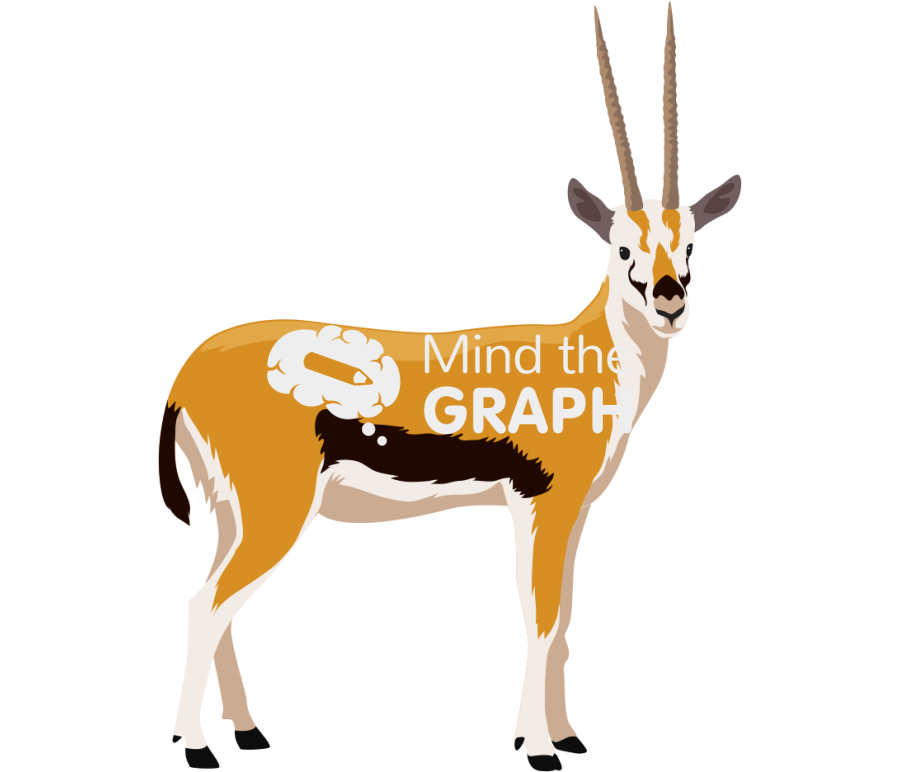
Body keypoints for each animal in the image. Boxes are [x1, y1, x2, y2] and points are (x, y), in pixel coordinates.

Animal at [161, 3, 741, 769]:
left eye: (690, 243)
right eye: (623, 248)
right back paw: (197, 742)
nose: (671, 302)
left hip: (237, 512)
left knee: (221, 601)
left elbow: (566, 614)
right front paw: (538, 744)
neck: (586, 352)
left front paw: (566, 733)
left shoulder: (571, 514)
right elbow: (542, 614)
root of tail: (188, 372)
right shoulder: (543, 506)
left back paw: (248, 728)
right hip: (273, 512)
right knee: (207, 603)